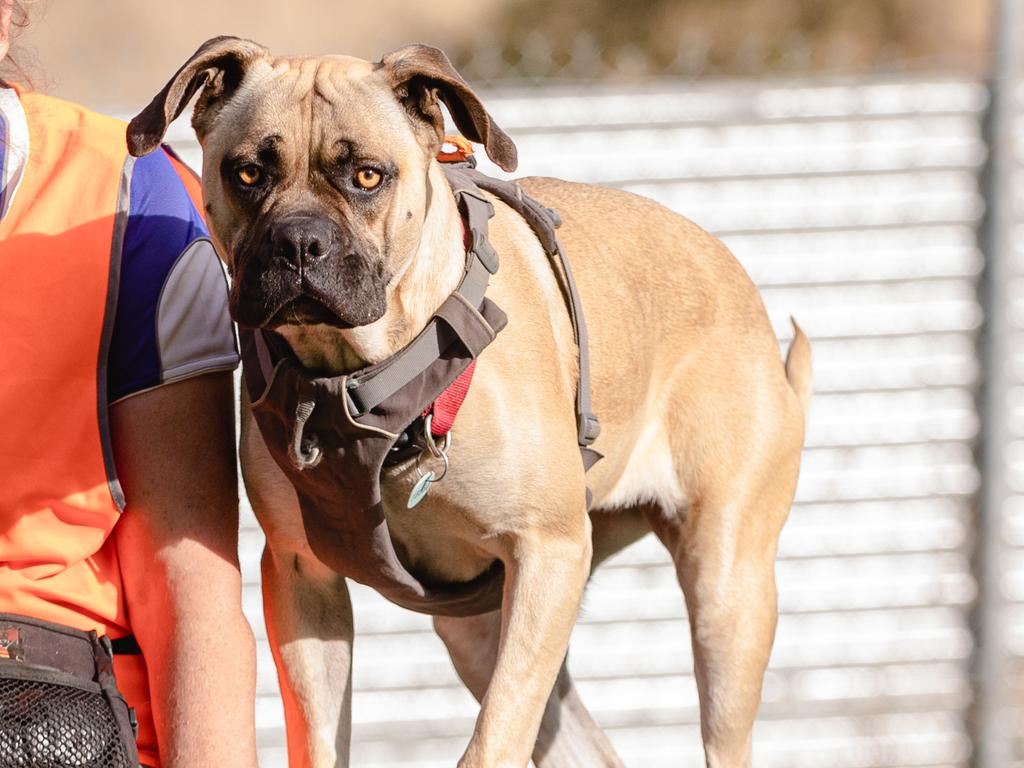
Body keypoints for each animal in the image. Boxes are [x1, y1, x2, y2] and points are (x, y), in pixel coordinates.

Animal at [132, 36, 811, 768]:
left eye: (367, 177)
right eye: (248, 173)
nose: (298, 243)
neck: (359, 373)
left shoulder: (548, 552)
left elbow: (491, 741)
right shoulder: (300, 575)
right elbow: (319, 738)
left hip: (724, 599)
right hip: (482, 624)